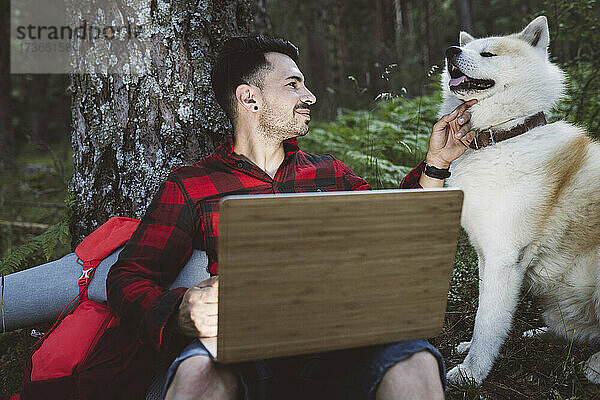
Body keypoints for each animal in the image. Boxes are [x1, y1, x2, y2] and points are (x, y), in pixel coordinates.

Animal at [440, 15, 600, 384]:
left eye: (487, 53)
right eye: (466, 48)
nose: (450, 50)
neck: (503, 136)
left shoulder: (504, 256)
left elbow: (488, 321)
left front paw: (471, 373)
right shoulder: (486, 254)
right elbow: (488, 311)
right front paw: (471, 351)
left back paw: (595, 366)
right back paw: (539, 334)